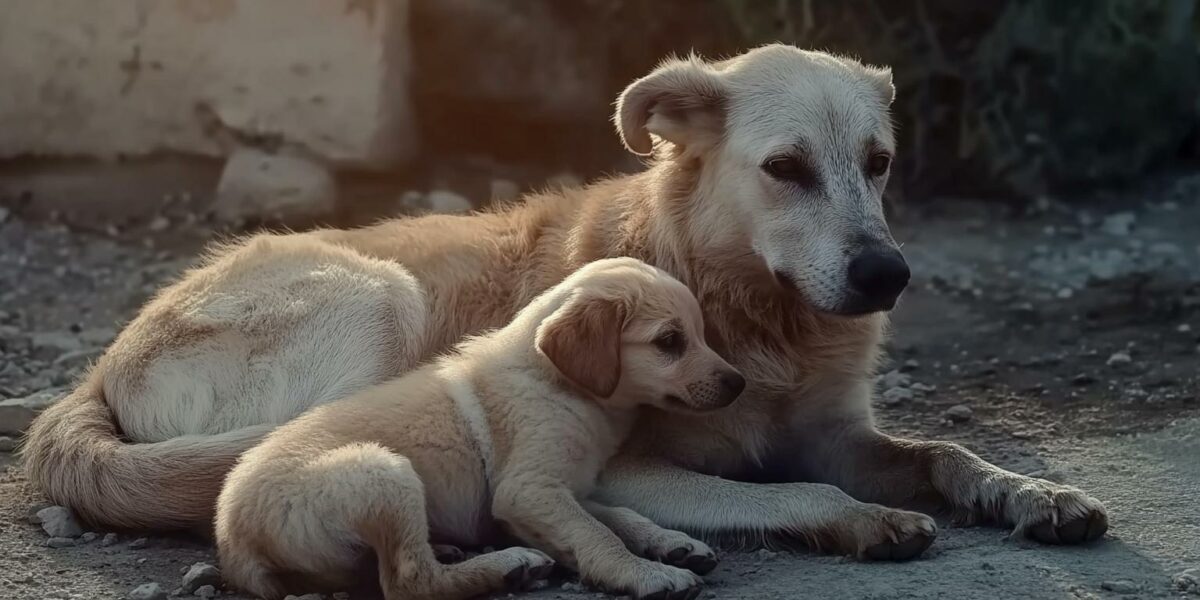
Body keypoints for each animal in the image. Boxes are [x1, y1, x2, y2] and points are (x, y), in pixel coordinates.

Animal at [21, 44, 1104, 559]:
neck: (756, 312)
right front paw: (860, 521)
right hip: (379, 298)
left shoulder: (837, 432)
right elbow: (794, 493)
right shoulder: (637, 464)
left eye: (878, 163)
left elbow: (946, 451)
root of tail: (102, 366)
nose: (887, 278)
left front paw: (1030, 492)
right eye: (786, 169)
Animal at [214, 258, 739, 600]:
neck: (558, 383)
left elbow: (621, 515)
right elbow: (596, 534)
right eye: (669, 342)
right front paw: (646, 574)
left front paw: (673, 543)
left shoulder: (563, 489)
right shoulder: (528, 491)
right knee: (409, 582)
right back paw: (506, 567)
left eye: (701, 334)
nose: (739, 383)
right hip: (383, 471)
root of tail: (231, 533)